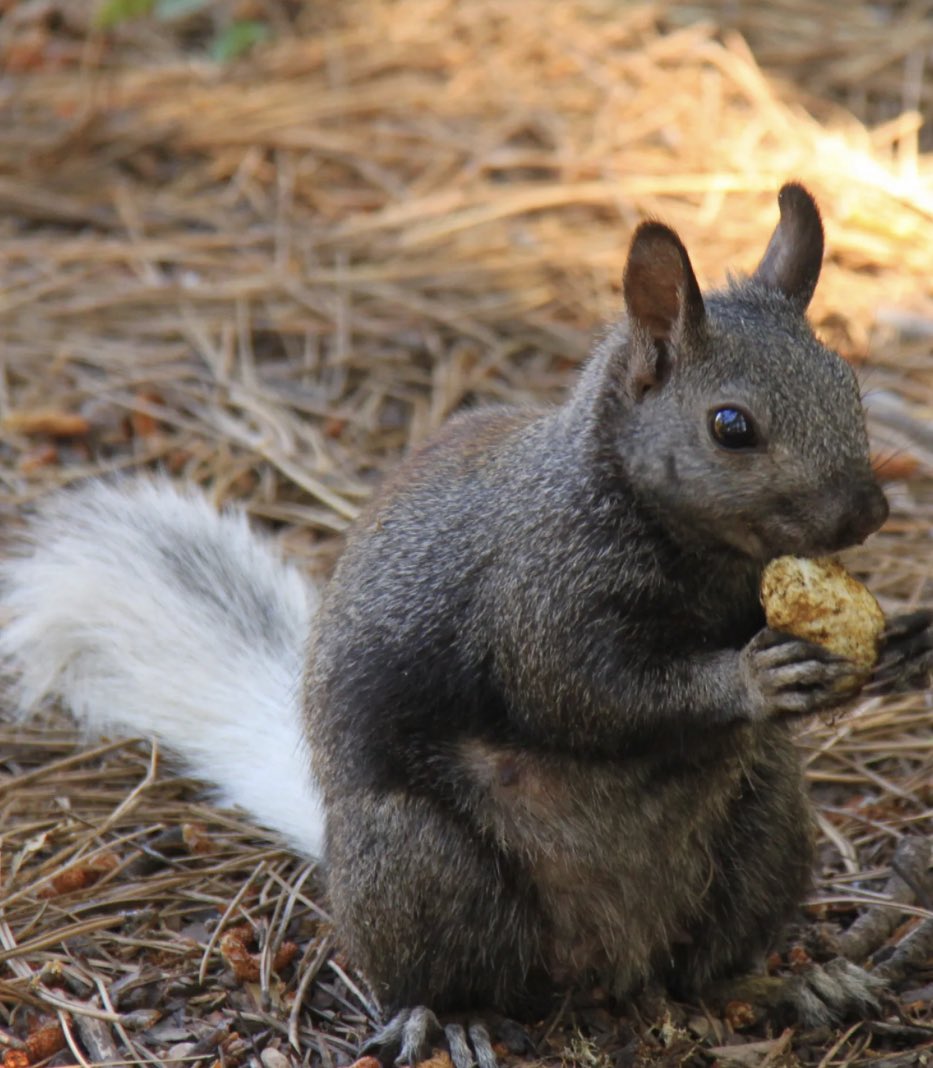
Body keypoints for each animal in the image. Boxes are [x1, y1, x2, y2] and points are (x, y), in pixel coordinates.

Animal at [2, 184, 931, 1067]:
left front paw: (902, 641)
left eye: (849, 387)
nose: (868, 513)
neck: (698, 552)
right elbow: (578, 692)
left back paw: (793, 983)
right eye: (730, 427)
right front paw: (750, 676)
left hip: (764, 828)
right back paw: (447, 1021)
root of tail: (611, 958)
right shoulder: (537, 592)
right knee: (449, 971)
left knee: (708, 970)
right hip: (422, 862)